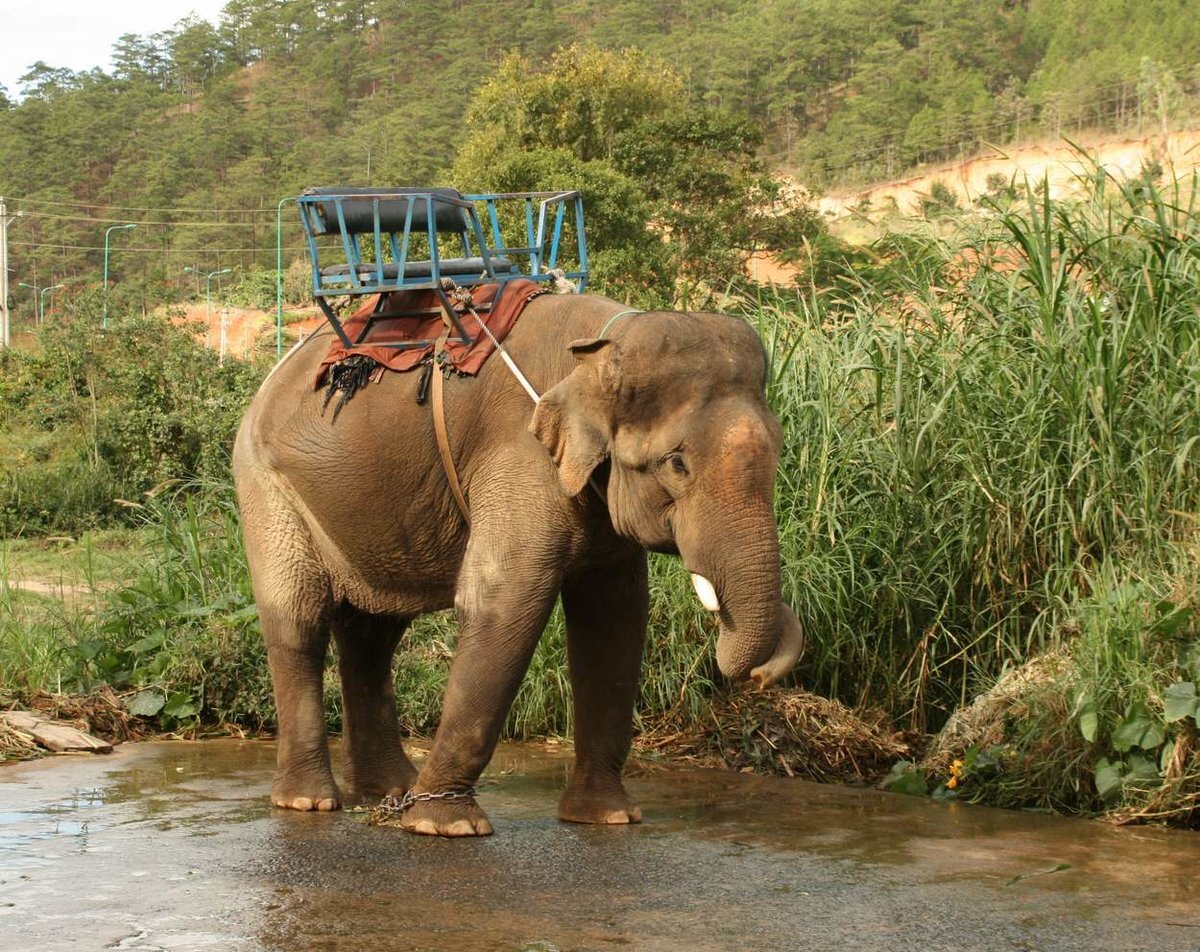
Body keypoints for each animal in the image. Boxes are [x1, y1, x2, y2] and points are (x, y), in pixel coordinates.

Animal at [231, 288, 806, 830]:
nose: (759, 679)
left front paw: (609, 819)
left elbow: (615, 620)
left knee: (373, 633)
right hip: (265, 485)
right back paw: (310, 801)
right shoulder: (519, 454)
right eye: (677, 464)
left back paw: (389, 791)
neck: (597, 349)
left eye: (781, 450)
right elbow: (503, 604)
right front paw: (446, 826)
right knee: (299, 620)